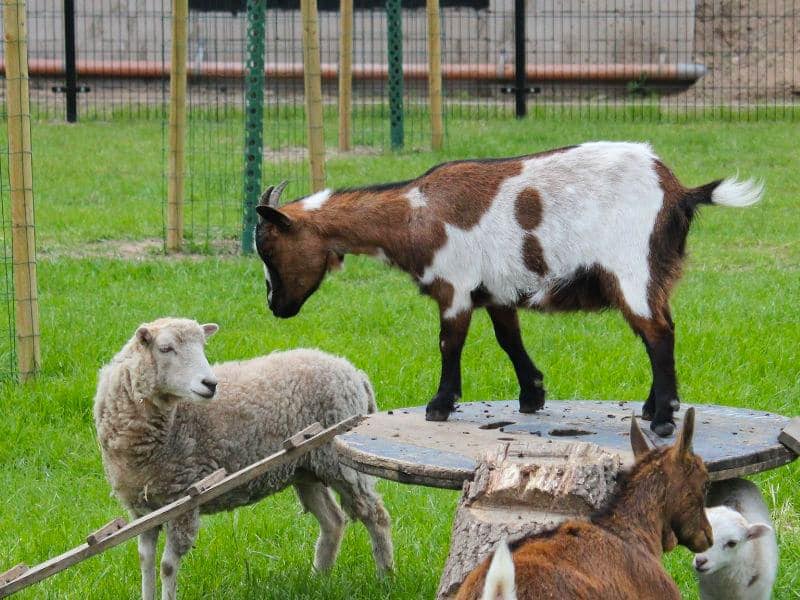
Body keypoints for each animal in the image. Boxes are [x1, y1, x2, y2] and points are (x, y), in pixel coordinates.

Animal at [94, 316, 394, 596]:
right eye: (165, 348)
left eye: (203, 346)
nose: (210, 384)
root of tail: (353, 372)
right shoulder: (143, 507)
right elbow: (145, 561)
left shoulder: (183, 500)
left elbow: (167, 566)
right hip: (305, 467)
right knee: (333, 521)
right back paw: (318, 578)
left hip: (342, 464)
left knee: (375, 516)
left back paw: (386, 578)